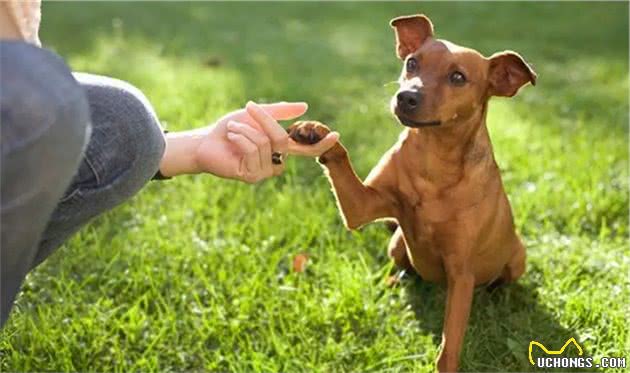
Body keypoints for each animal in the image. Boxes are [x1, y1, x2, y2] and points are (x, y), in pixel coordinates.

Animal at [288, 13, 536, 372]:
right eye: (412, 63)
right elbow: (340, 159)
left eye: (458, 77)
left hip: (517, 257)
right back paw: (394, 280)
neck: (433, 163)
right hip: (396, 242)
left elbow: (449, 345)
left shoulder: (461, 274)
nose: (406, 96)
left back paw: (496, 295)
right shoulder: (362, 207)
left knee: (502, 280)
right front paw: (315, 132)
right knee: (403, 266)